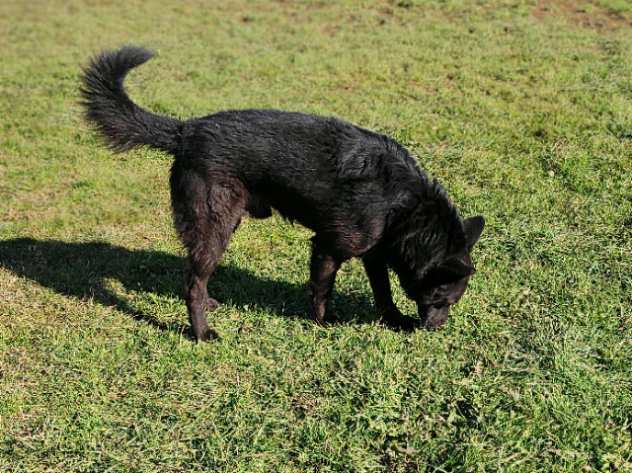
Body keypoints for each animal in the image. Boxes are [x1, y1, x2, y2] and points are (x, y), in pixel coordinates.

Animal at [79, 45, 484, 340]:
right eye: (441, 298)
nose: (433, 331)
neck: (405, 206)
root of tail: (186, 131)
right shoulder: (327, 247)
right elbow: (321, 291)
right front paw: (322, 324)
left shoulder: (374, 255)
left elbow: (382, 292)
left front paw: (394, 319)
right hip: (214, 227)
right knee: (192, 283)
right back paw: (202, 332)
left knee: (193, 276)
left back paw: (210, 304)